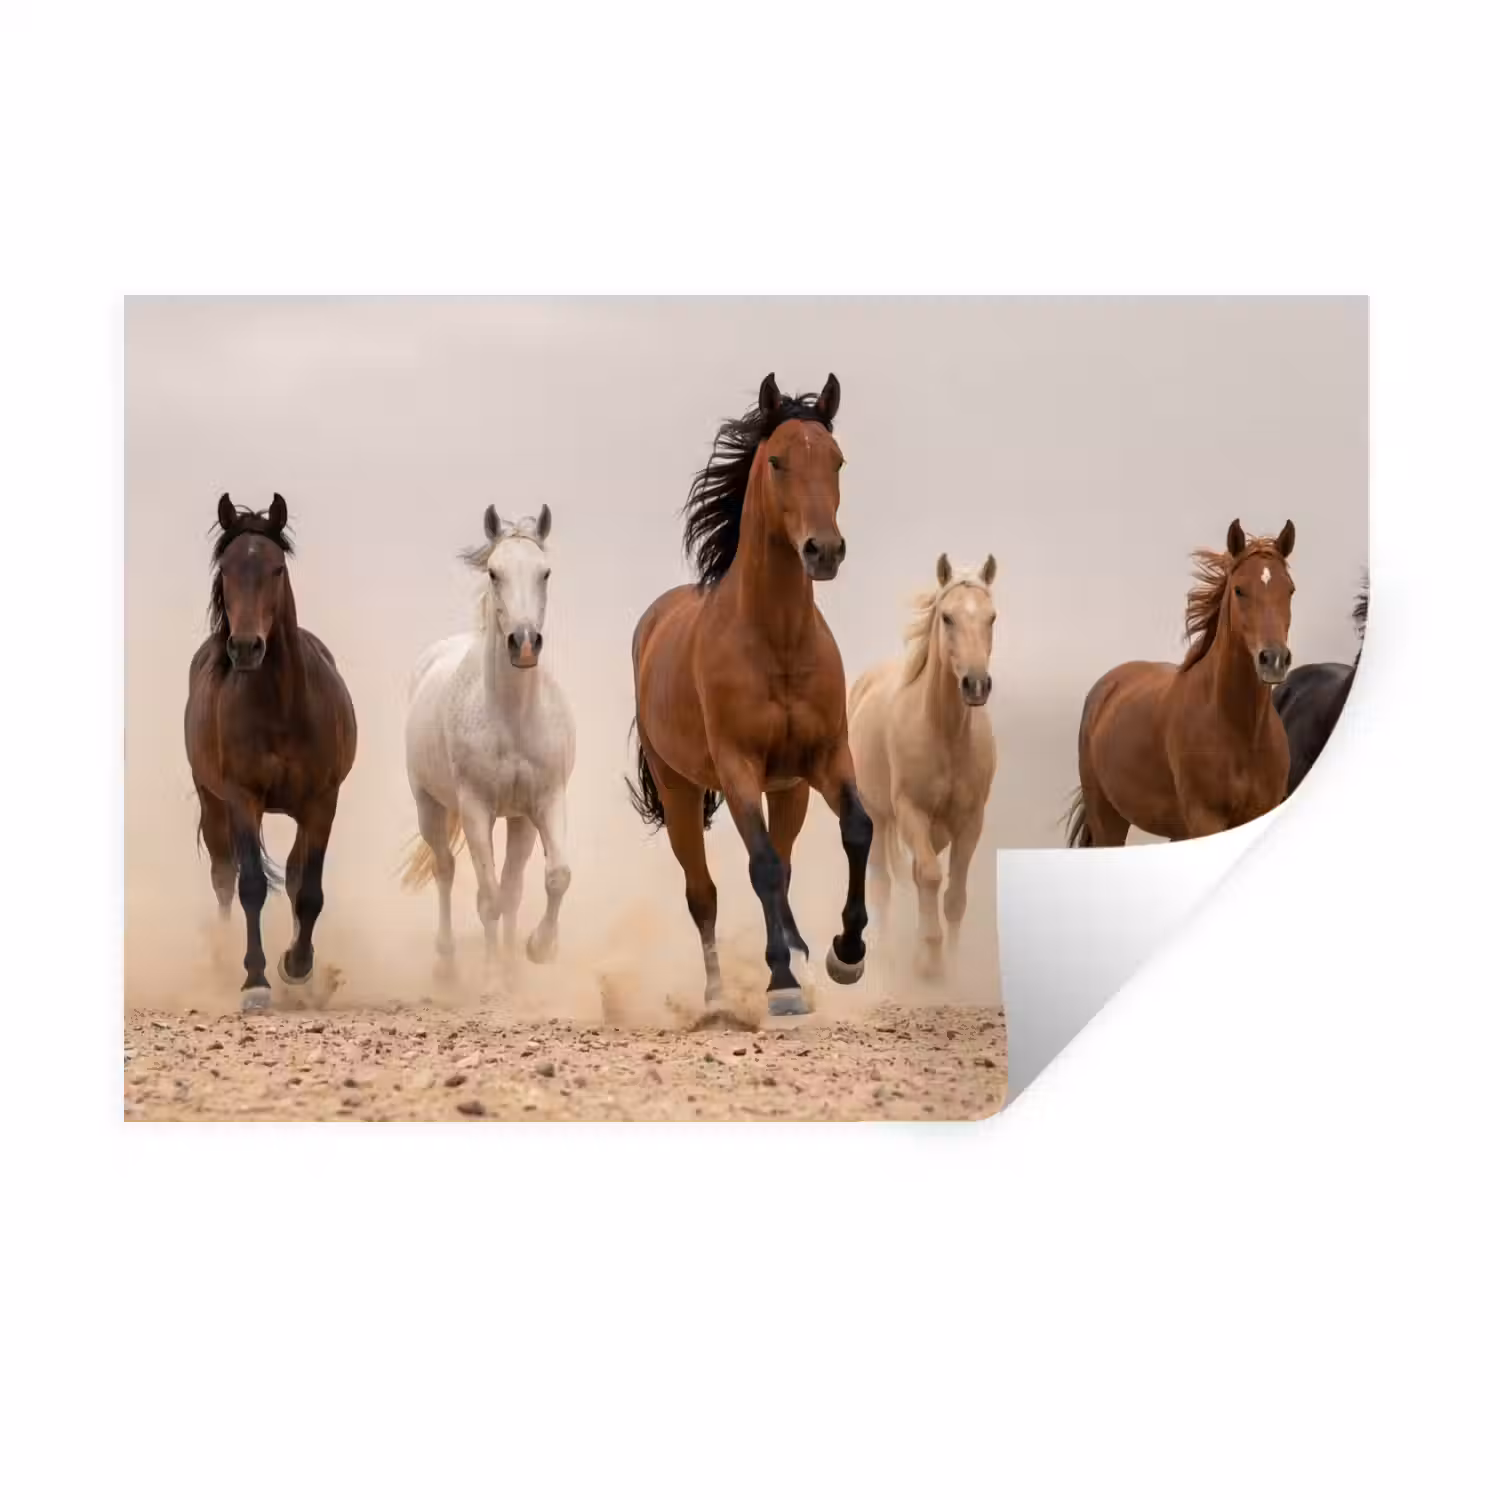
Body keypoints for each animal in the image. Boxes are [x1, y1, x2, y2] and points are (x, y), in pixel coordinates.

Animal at [184, 493, 358, 1011]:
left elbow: (310, 890)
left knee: (297, 875)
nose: (245, 647)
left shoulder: (322, 802)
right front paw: (255, 981)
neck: (282, 706)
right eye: (226, 568)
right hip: (212, 802)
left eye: (276, 568)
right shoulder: (243, 799)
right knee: (224, 876)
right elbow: (251, 886)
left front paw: (297, 967)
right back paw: (224, 959)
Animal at [400, 504, 575, 977]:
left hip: (514, 820)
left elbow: (553, 878)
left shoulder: (543, 802)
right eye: (495, 573)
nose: (525, 643)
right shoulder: (476, 809)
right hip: (430, 806)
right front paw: (493, 979)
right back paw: (447, 965)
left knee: (510, 886)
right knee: (445, 868)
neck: (511, 719)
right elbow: (489, 898)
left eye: (545, 572)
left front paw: (536, 950)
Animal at [627, 372, 872, 1018]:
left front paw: (845, 955)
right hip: (681, 791)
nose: (824, 550)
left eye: (838, 460)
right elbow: (758, 866)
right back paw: (718, 998)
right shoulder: (737, 767)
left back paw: (805, 958)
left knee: (784, 865)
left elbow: (857, 830)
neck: (778, 641)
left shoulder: (825, 759)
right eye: (779, 461)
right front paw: (780, 984)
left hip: (789, 791)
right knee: (704, 893)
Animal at [847, 552, 999, 978]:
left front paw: (951, 963)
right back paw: (884, 956)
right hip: (878, 818)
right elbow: (929, 876)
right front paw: (930, 959)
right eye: (947, 617)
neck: (944, 733)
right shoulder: (911, 812)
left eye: (991, 617)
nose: (976, 684)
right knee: (882, 884)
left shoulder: (970, 821)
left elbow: (955, 896)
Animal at [1065, 518, 1297, 845]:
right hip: (1107, 818)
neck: (1240, 731)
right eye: (1239, 590)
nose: (1274, 659)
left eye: (1290, 590)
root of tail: (1105, 687)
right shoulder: (1205, 819)